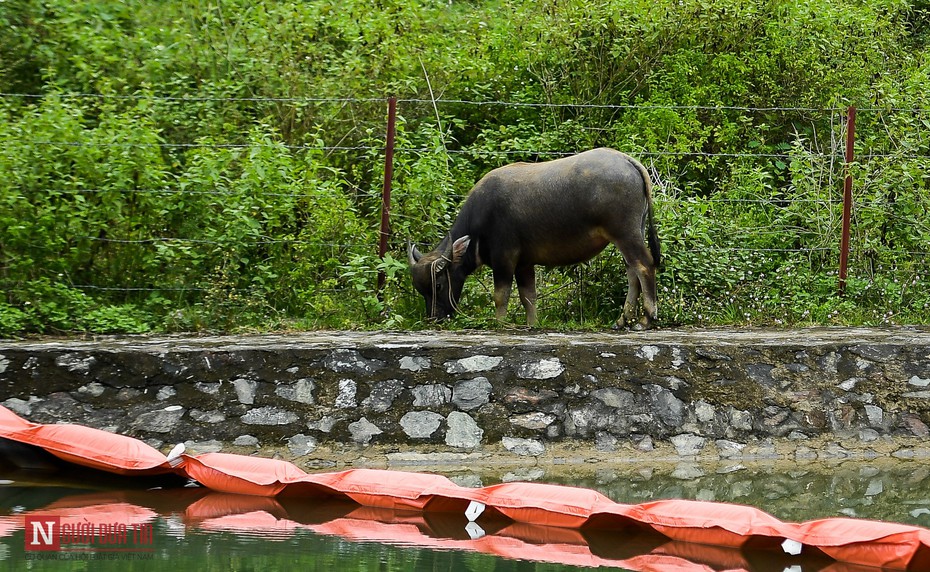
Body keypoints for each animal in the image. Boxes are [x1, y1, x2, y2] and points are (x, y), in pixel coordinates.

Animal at [408, 147, 660, 328]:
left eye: (438, 285)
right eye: (421, 290)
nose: (434, 318)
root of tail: (628, 161)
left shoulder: (504, 258)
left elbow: (501, 295)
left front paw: (499, 323)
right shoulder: (524, 264)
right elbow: (528, 296)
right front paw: (532, 324)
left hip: (625, 233)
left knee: (644, 266)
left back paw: (645, 319)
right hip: (629, 234)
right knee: (632, 271)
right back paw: (622, 320)